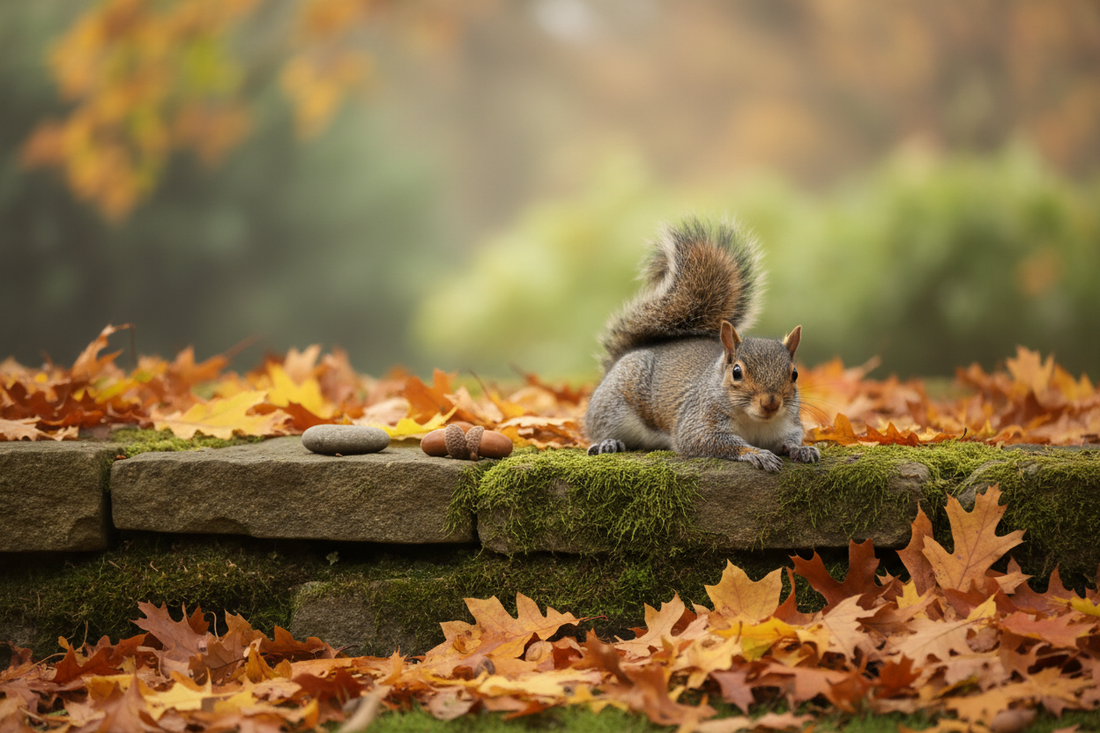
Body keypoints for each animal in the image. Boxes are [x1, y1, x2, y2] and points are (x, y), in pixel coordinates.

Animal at [583, 217, 821, 472]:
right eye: (736, 372)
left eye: (794, 374)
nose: (770, 404)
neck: (754, 421)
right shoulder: (698, 421)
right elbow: (709, 440)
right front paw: (757, 453)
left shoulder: (786, 426)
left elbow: (789, 440)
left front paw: (801, 449)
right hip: (612, 406)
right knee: (598, 429)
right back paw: (608, 443)